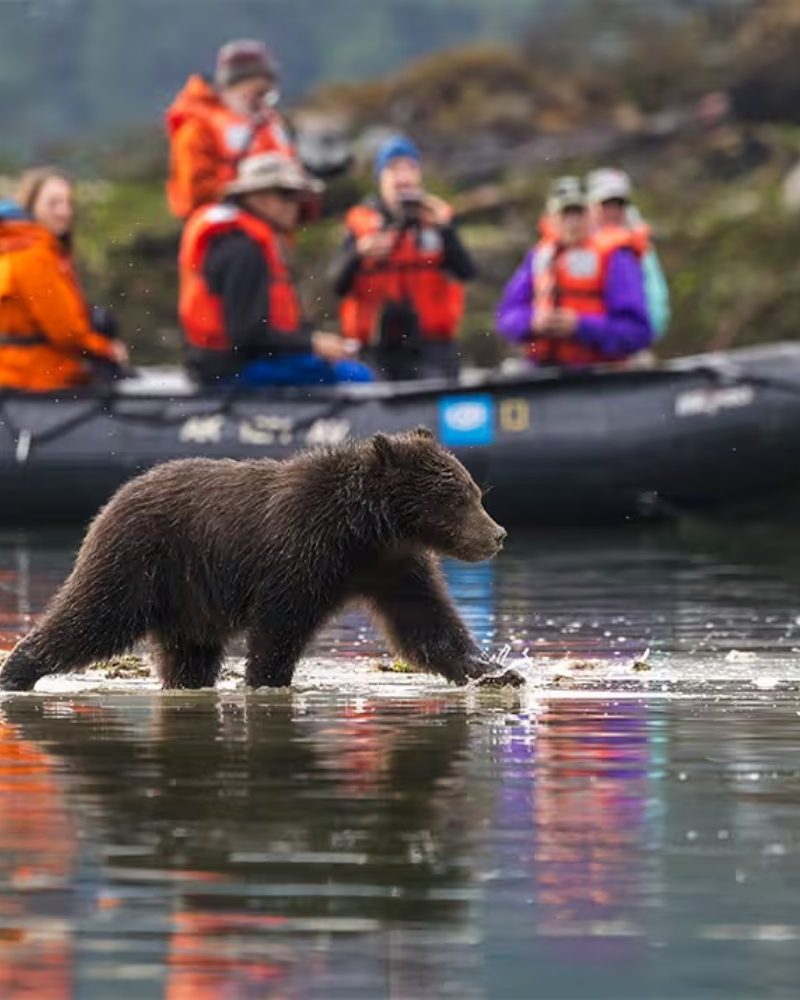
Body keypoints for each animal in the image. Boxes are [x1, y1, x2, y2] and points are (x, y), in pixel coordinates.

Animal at [0, 428, 507, 692]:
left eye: (475, 492)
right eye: (457, 499)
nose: (497, 536)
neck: (364, 529)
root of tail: (117, 495)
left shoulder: (392, 566)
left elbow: (427, 625)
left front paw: (496, 671)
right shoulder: (300, 552)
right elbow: (280, 626)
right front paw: (267, 680)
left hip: (187, 598)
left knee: (188, 654)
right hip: (140, 560)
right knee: (91, 617)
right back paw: (17, 670)